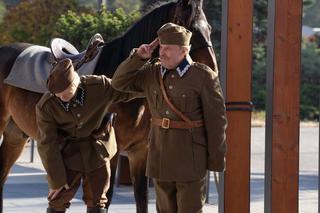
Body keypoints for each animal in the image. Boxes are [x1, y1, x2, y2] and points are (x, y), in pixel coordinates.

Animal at [0, 0, 216, 212]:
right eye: (186, 26)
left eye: (209, 28)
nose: (211, 68)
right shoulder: (111, 152)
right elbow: (107, 195)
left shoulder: (140, 152)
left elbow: (142, 198)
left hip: (16, 135)